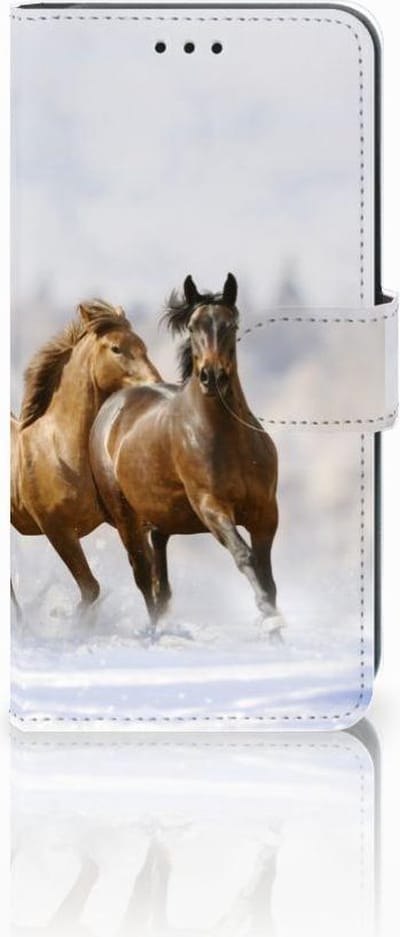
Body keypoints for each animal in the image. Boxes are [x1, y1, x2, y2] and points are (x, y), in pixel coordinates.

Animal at [11, 299, 161, 612]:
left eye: (142, 345)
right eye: (116, 348)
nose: (155, 383)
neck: (62, 451)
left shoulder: (126, 521)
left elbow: (148, 575)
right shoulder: (57, 529)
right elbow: (90, 589)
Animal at [89, 274, 281, 635]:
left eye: (231, 325)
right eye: (193, 327)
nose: (212, 376)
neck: (228, 439)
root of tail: (112, 406)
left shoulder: (266, 513)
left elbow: (266, 573)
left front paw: (274, 624)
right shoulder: (211, 507)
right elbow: (244, 556)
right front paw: (268, 616)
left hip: (160, 518)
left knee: (160, 579)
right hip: (125, 518)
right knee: (143, 575)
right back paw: (154, 632)